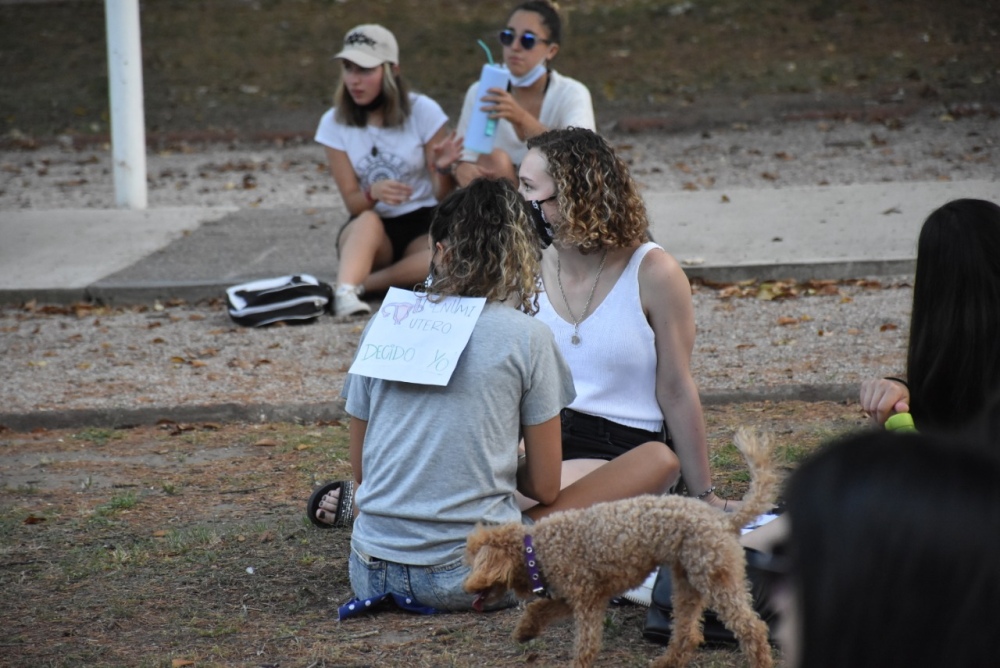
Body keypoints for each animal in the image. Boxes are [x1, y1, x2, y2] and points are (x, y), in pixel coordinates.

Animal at [464, 428, 776, 668]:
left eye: (474, 562)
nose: (467, 588)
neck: (538, 547)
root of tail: (724, 521)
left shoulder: (587, 600)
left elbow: (586, 644)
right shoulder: (572, 597)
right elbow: (538, 609)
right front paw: (524, 632)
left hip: (713, 578)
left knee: (752, 627)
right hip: (686, 581)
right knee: (689, 633)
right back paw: (666, 662)